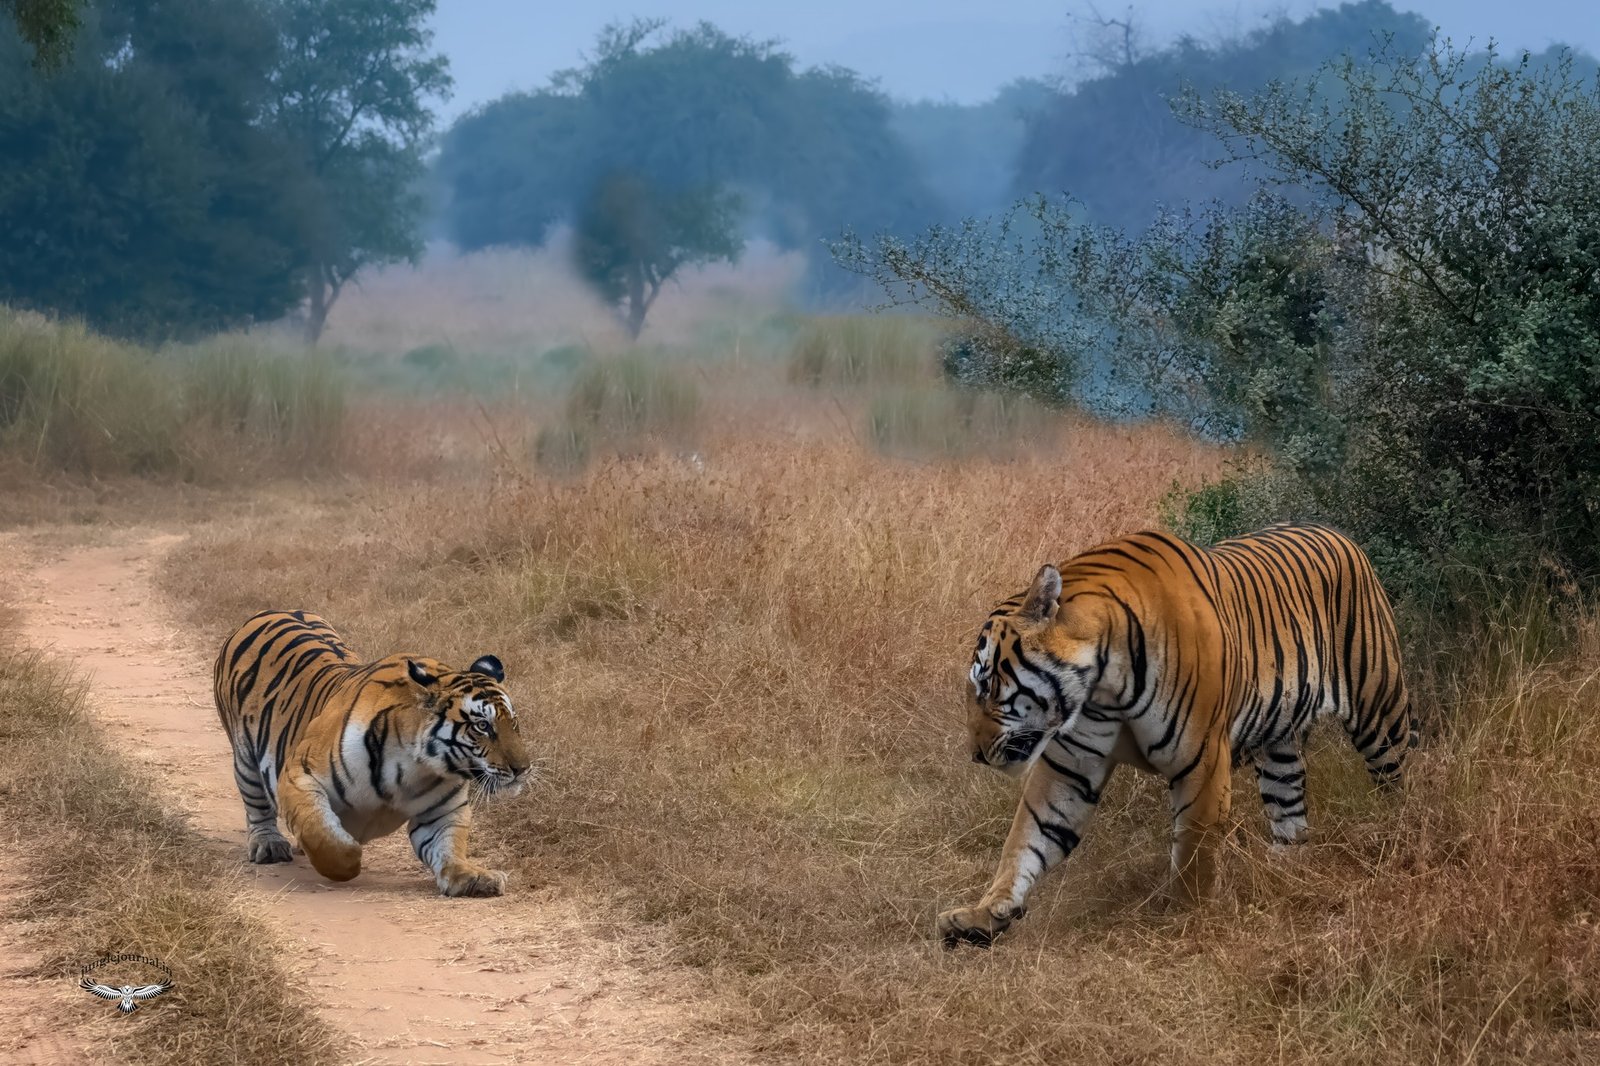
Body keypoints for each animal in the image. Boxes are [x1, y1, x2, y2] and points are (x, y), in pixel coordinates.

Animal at [213, 610, 533, 897]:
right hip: (245, 760)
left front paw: (472, 877)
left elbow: (449, 845)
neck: (417, 769)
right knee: (257, 805)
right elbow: (323, 834)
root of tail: (266, 613)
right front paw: (349, 860)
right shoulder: (299, 775)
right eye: (482, 726)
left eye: (514, 723)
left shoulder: (442, 811)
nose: (522, 769)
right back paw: (269, 846)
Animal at [939, 523, 1415, 947]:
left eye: (986, 684)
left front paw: (1186, 919)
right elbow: (1026, 840)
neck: (1102, 685)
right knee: (1290, 809)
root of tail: (1342, 535)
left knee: (1396, 778)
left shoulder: (1202, 760)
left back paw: (1396, 837)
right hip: (1279, 745)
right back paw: (1284, 866)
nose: (975, 754)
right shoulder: (1069, 768)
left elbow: (1192, 852)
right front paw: (982, 914)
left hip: (1379, 708)